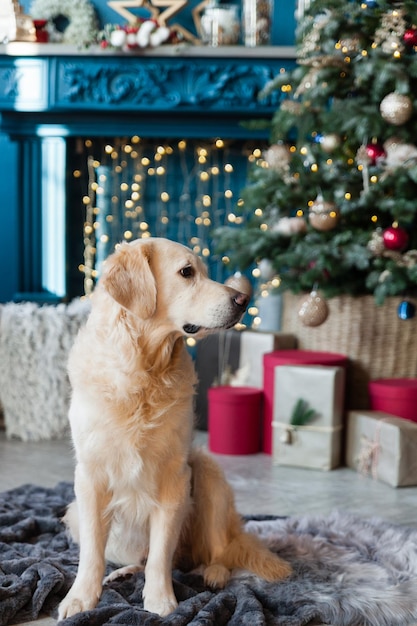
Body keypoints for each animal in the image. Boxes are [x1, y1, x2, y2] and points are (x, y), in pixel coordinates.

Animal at [57, 235, 292, 620]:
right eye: (186, 272)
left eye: (205, 272)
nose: (243, 300)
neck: (143, 370)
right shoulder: (89, 477)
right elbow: (92, 553)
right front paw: (80, 598)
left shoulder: (174, 477)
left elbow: (160, 553)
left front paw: (160, 600)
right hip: (73, 513)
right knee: (138, 556)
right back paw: (122, 573)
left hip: (208, 475)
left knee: (217, 551)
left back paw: (214, 573)